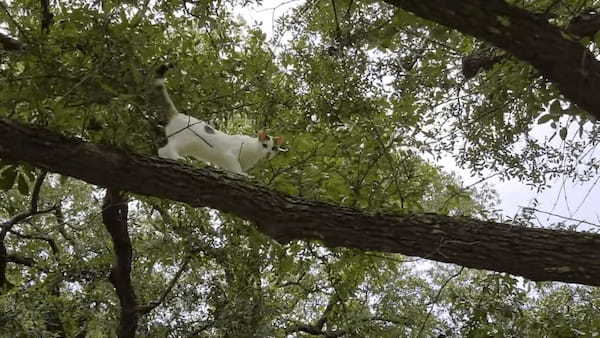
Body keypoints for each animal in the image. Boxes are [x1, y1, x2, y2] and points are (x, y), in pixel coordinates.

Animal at [155, 69, 286, 174]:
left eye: (273, 148)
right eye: (265, 145)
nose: (268, 153)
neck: (254, 153)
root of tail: (177, 114)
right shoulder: (230, 156)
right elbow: (237, 168)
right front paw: (244, 175)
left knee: (162, 150)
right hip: (184, 140)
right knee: (167, 148)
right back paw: (177, 158)